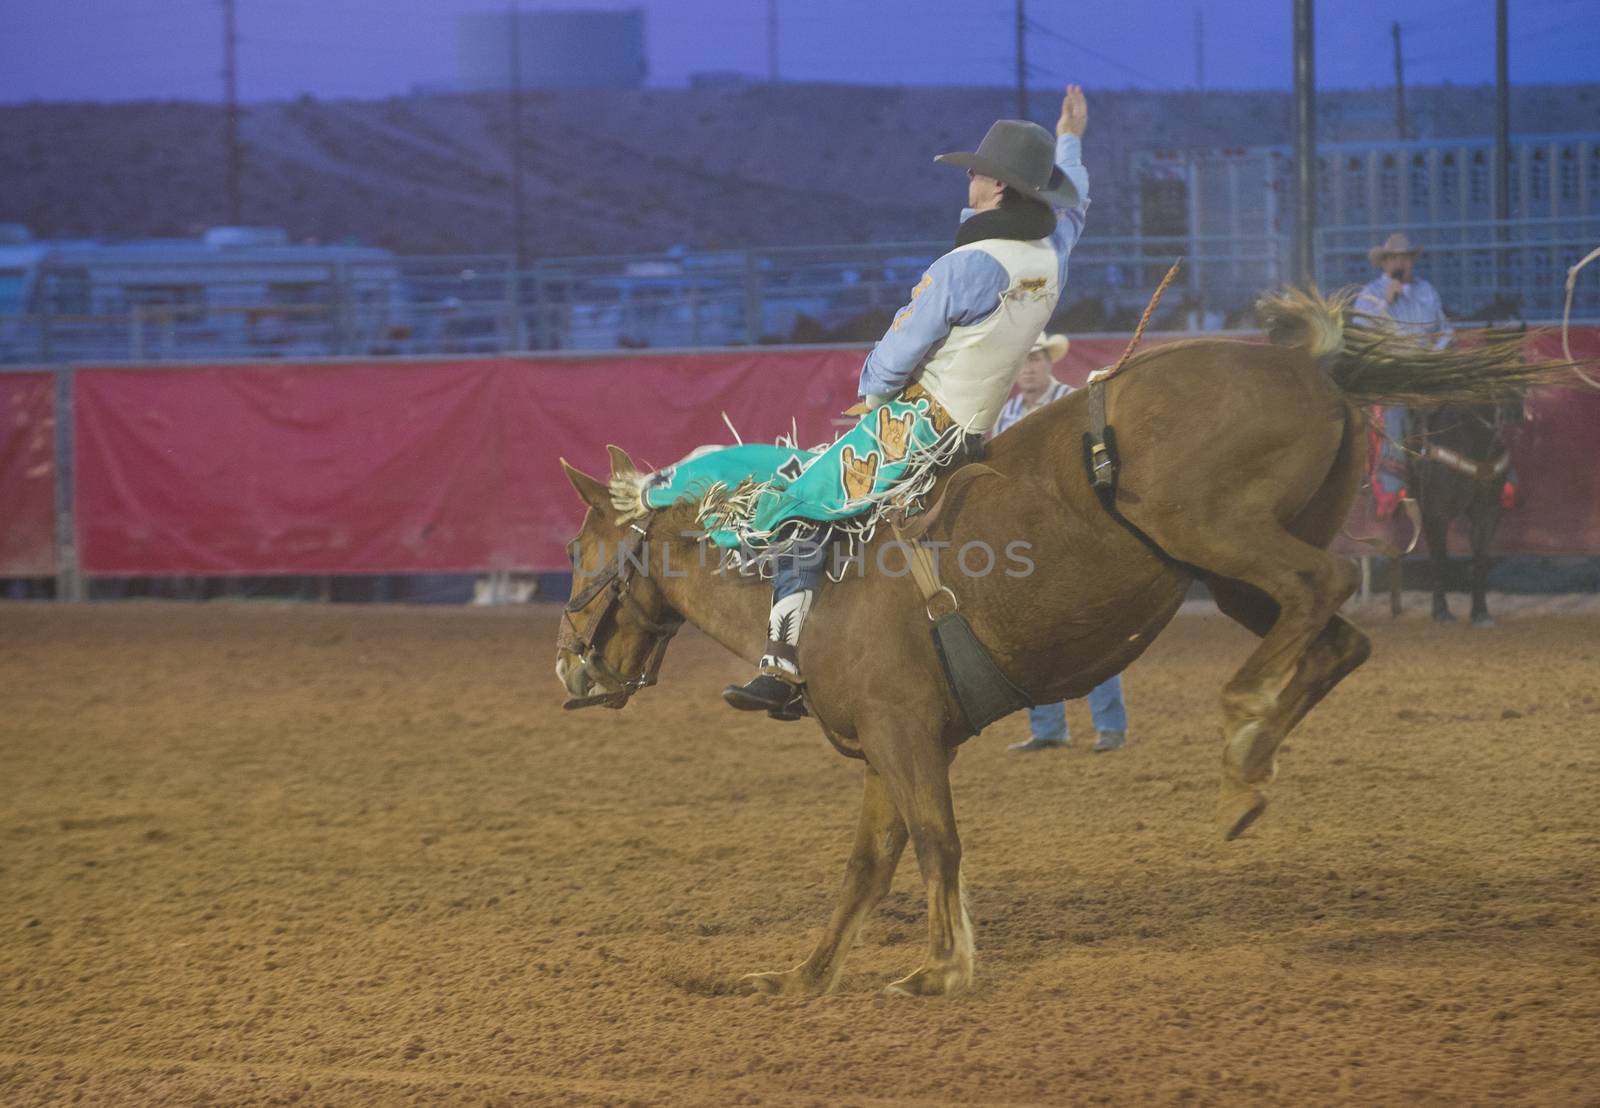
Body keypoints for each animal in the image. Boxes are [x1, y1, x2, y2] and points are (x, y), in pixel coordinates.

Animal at [553, 289, 1548, 999]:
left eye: (573, 552)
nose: (570, 666)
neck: (810, 586)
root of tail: (1310, 366)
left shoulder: (905, 734)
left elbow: (934, 840)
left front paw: (942, 969)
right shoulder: (889, 743)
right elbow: (869, 864)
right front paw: (801, 976)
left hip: (1215, 531)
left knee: (1324, 588)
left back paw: (1241, 731)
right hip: (1232, 573)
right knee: (1336, 639)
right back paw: (1251, 761)